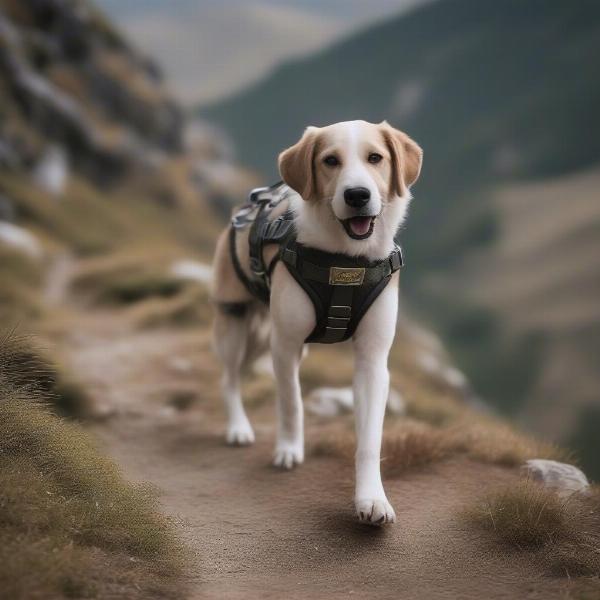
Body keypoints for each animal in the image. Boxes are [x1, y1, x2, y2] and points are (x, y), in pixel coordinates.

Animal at [211, 119, 422, 524]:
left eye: (376, 158)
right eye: (330, 160)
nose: (357, 195)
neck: (345, 258)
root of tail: (242, 212)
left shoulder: (372, 361)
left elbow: (370, 439)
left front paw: (371, 499)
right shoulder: (286, 345)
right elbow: (291, 402)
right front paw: (289, 449)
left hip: (261, 337)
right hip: (237, 325)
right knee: (228, 377)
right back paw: (237, 427)